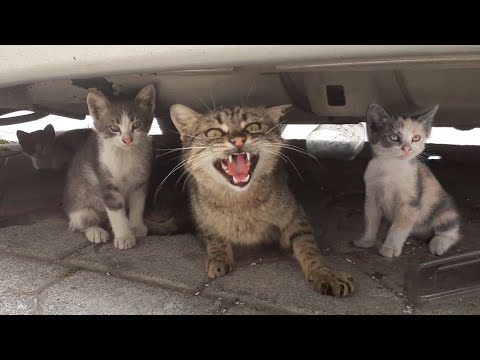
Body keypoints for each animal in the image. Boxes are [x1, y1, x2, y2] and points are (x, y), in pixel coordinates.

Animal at [63, 83, 156, 250]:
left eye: (136, 124)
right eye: (114, 127)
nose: (127, 139)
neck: (125, 155)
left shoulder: (140, 181)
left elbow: (138, 204)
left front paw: (136, 226)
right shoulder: (105, 180)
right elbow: (116, 212)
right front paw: (124, 237)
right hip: (80, 205)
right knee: (79, 224)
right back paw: (95, 231)